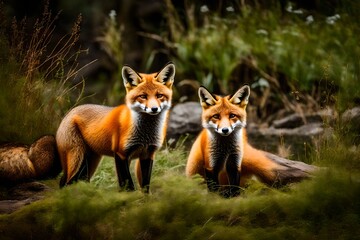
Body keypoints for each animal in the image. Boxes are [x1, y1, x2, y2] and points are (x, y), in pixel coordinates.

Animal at [55, 62, 175, 193]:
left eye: (159, 95)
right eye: (143, 96)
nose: (154, 109)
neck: (145, 135)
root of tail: (71, 110)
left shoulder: (148, 154)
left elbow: (145, 186)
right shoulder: (120, 154)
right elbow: (128, 185)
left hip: (91, 163)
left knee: (78, 180)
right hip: (77, 158)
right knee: (65, 182)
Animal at [186, 86, 316, 197]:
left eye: (232, 115)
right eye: (216, 116)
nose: (225, 130)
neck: (225, 148)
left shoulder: (235, 163)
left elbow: (234, 187)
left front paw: (234, 198)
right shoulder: (210, 165)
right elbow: (213, 188)